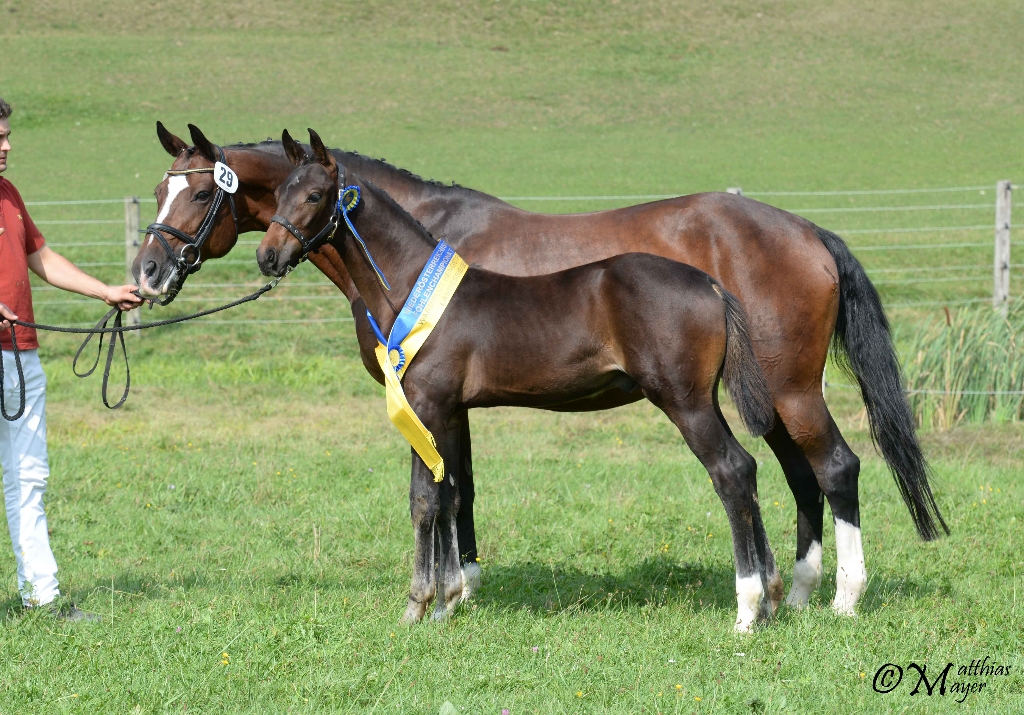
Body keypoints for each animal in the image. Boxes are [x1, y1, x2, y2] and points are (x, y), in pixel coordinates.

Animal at [256, 129, 774, 631]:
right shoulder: (445, 414)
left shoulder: (427, 406)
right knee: (747, 468)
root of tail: (711, 285)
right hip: (704, 400)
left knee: (730, 471)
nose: (268, 257)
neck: (411, 290)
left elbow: (425, 501)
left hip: (684, 402)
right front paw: (447, 603)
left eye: (315, 195)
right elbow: (448, 495)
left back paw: (747, 610)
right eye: (279, 192)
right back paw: (768, 600)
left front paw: (417, 606)